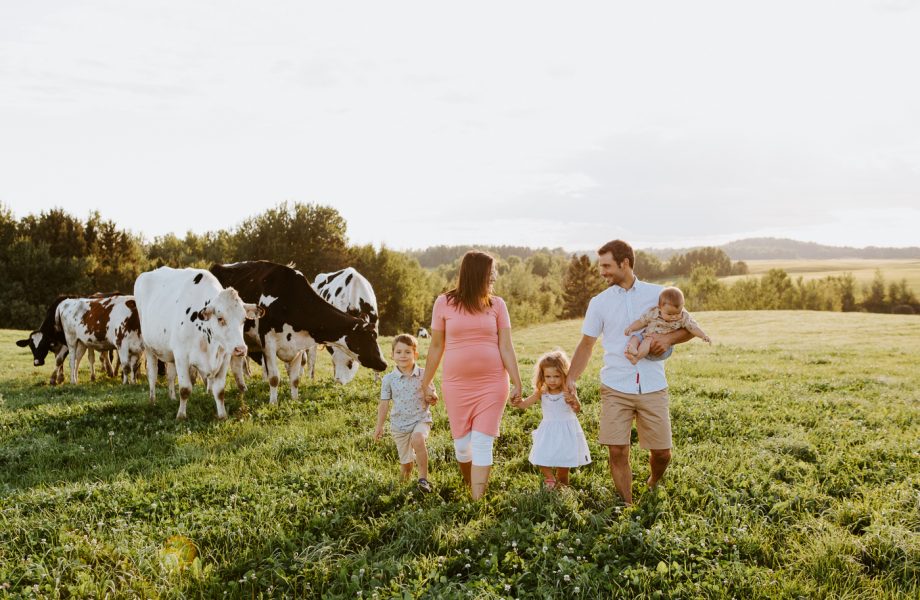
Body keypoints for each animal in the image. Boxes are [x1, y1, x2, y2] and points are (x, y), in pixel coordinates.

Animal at [135, 264, 260, 420]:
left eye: (243, 319)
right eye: (220, 318)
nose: (241, 349)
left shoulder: (224, 357)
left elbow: (219, 390)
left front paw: (222, 415)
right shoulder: (181, 355)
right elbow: (185, 389)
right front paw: (181, 415)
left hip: (170, 353)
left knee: (170, 375)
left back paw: (172, 398)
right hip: (149, 347)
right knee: (152, 374)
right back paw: (152, 401)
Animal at [209, 258, 388, 404]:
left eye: (376, 335)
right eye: (368, 338)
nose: (384, 363)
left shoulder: (299, 345)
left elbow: (295, 379)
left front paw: (295, 400)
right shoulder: (268, 343)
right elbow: (274, 378)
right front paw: (273, 403)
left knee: (236, 364)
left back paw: (243, 390)